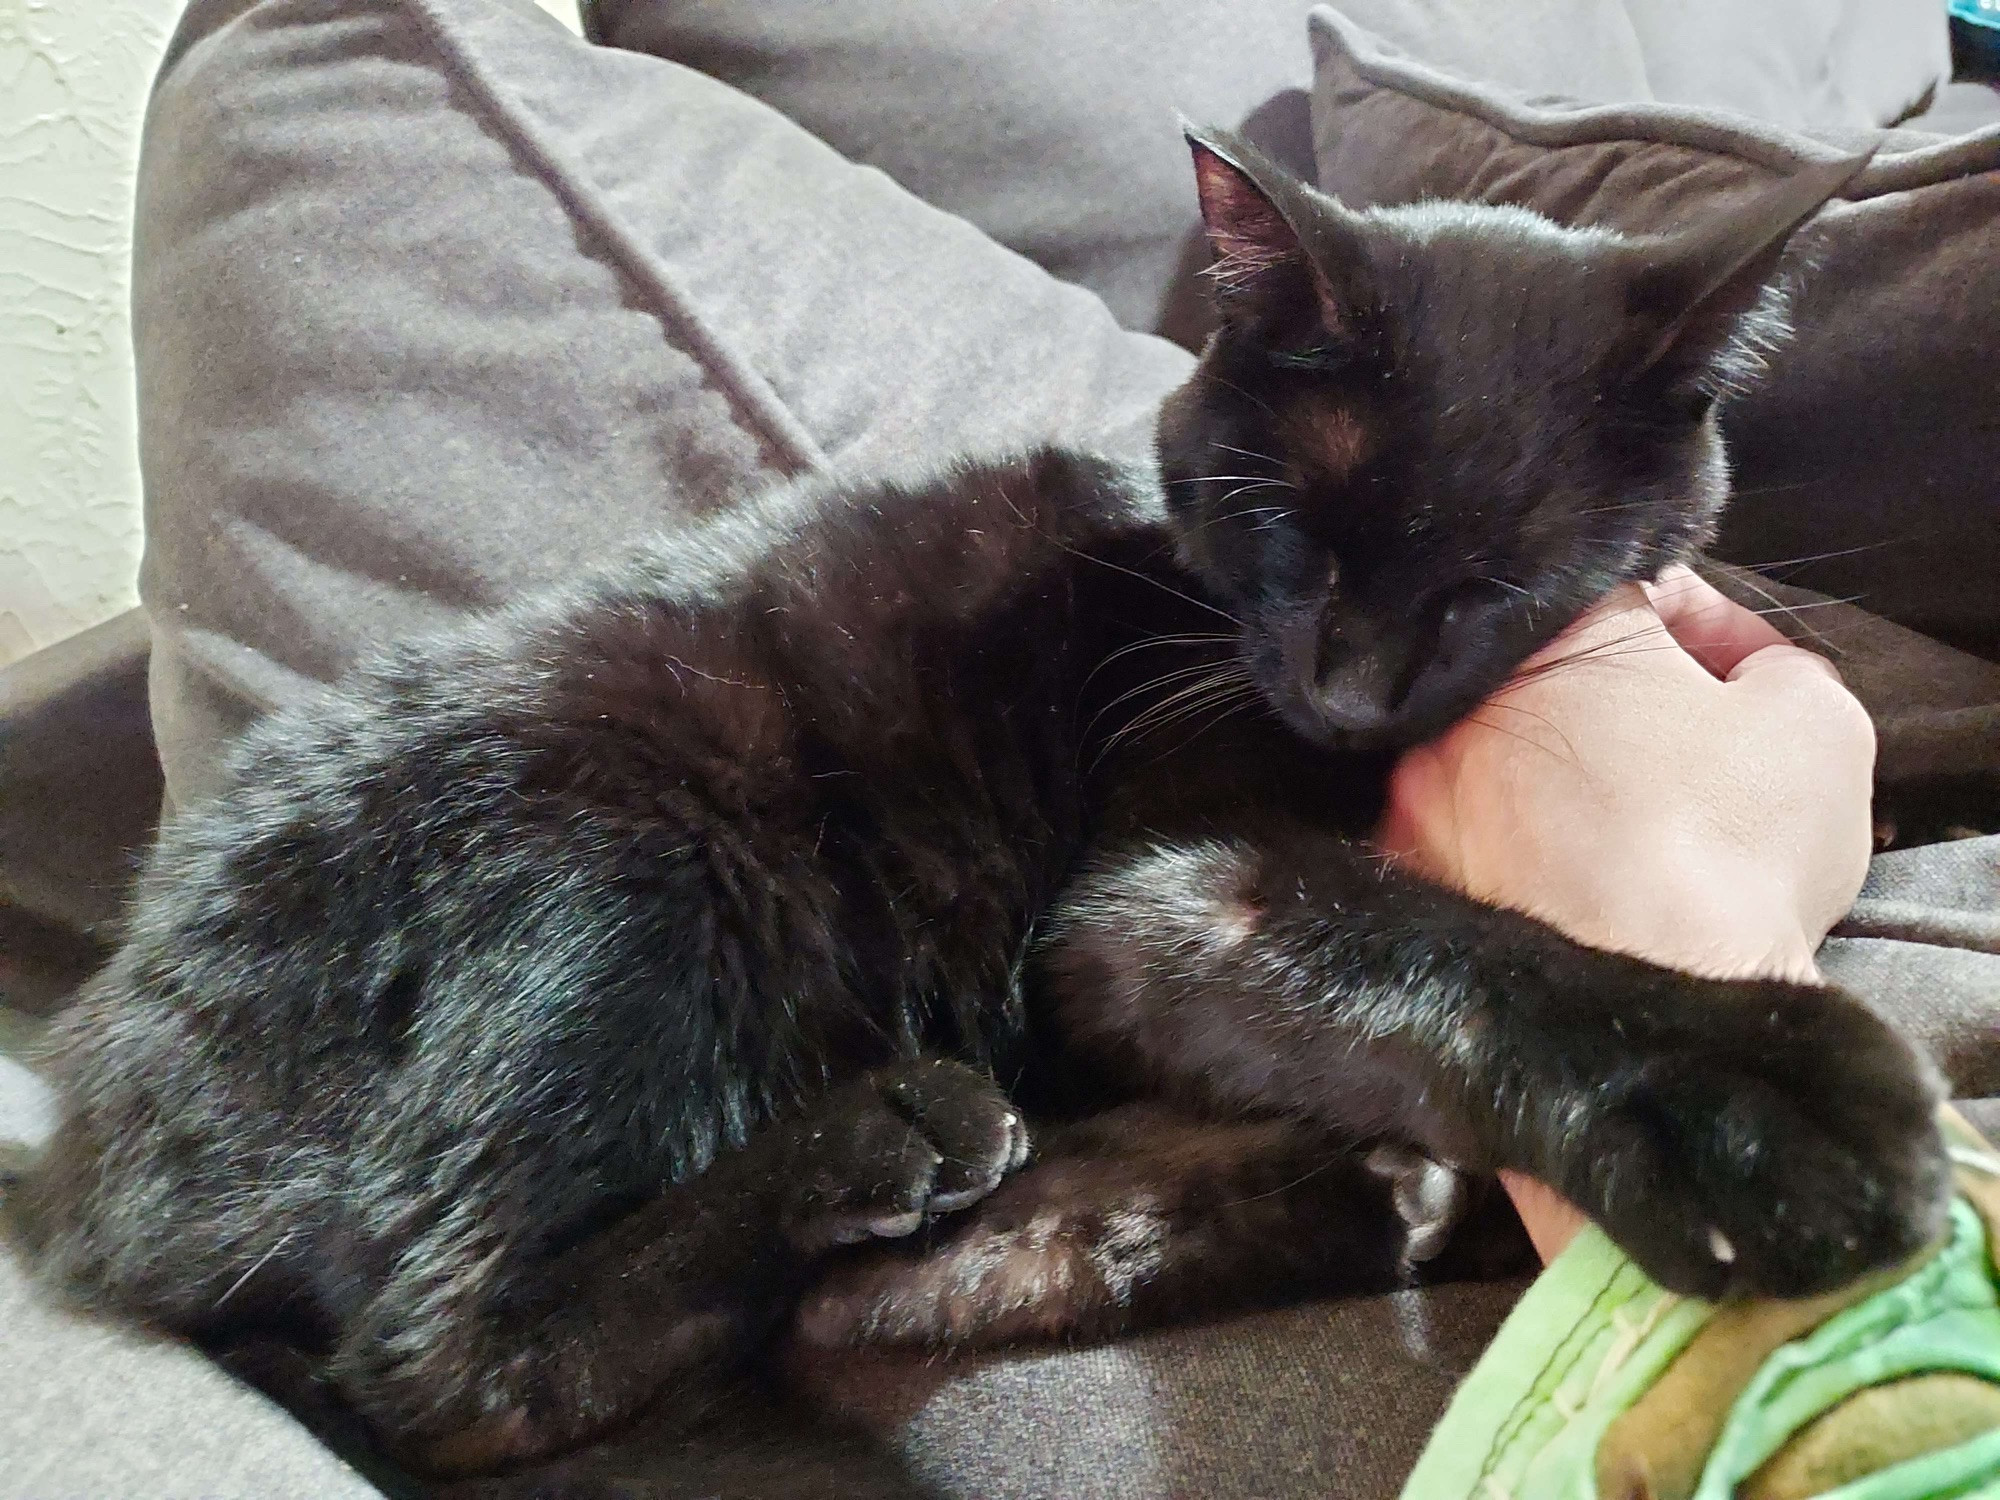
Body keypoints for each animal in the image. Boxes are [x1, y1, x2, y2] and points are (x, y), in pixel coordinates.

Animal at [7, 132, 1944, 1480]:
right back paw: (886, 1147)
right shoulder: (1151, 894)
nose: (1344, 687)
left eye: (1496, 581)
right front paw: (1759, 1095)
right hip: (627, 847)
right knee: (447, 1353)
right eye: (1284, 528)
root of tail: (94, 1121)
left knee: (879, 1291)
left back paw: (1315, 1196)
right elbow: (1435, 946)